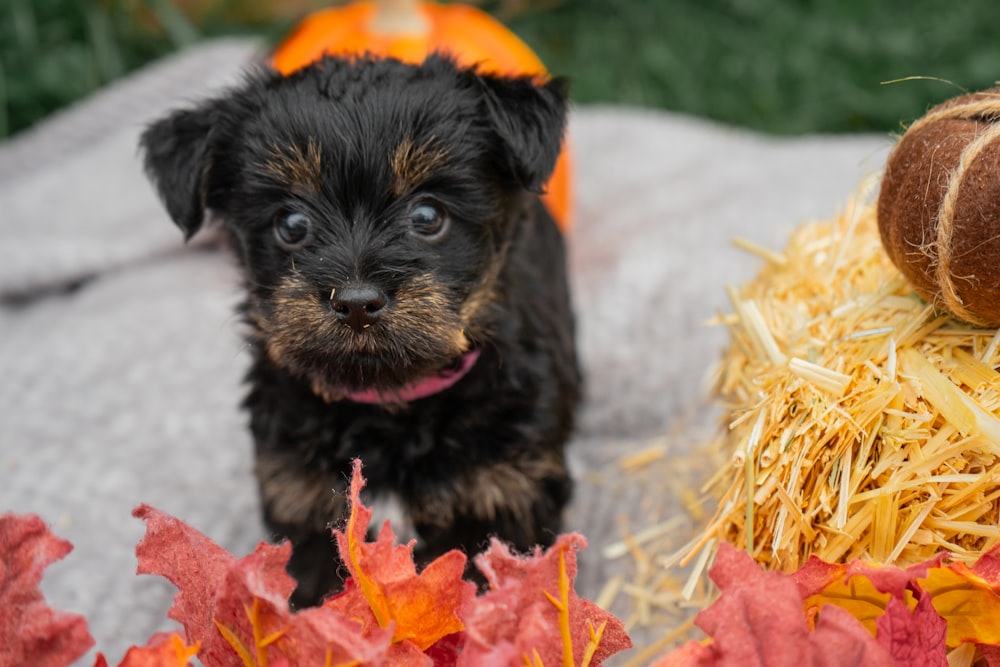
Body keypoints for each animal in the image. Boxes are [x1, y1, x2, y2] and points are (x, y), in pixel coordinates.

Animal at [140, 53, 580, 604]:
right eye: (292, 224)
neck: (389, 406)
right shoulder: (305, 508)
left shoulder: (505, 500)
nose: (354, 303)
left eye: (427, 215)